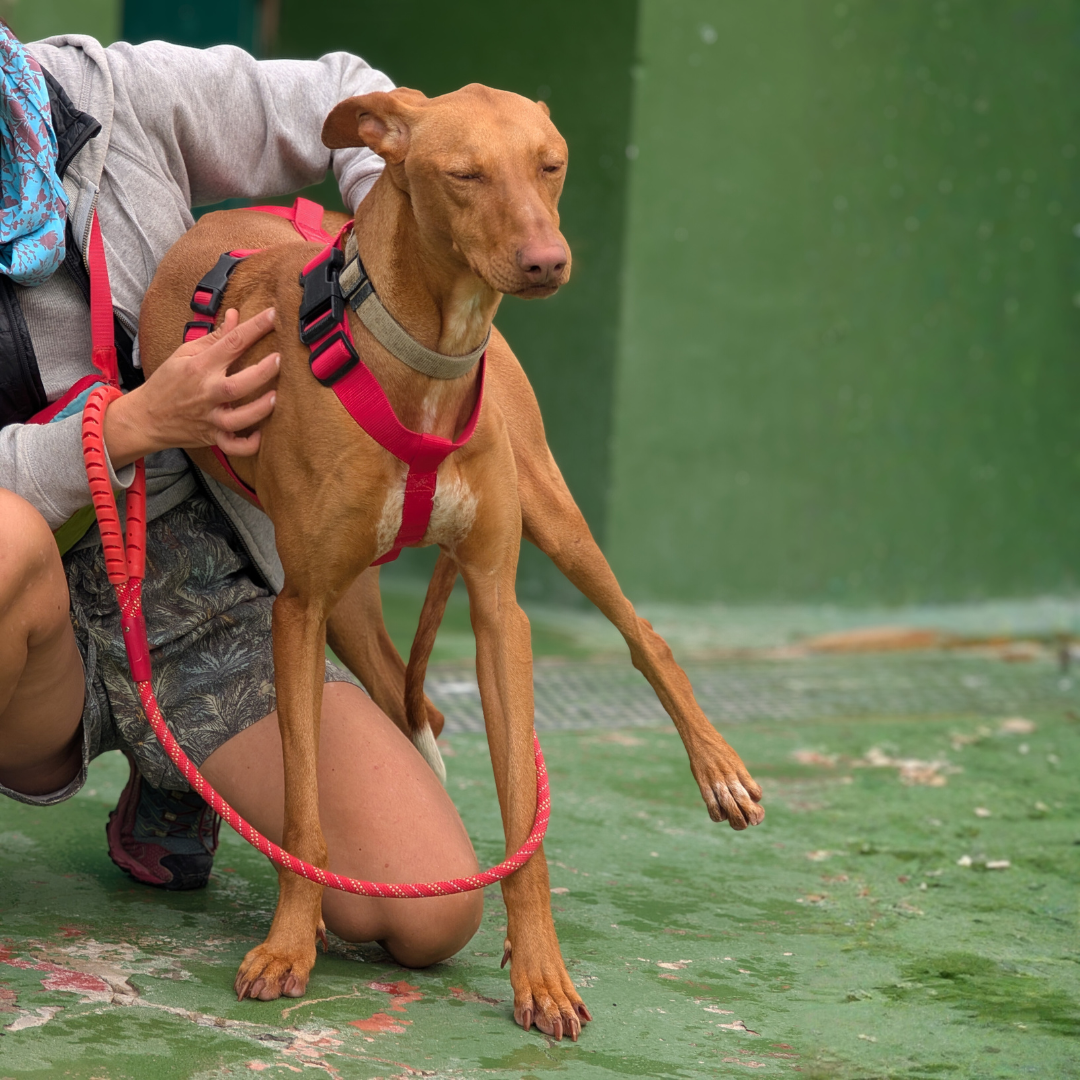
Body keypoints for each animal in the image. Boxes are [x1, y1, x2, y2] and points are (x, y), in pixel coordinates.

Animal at [139, 84, 764, 1041]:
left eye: (552, 163)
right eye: (464, 175)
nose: (547, 262)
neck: (426, 355)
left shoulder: (500, 611)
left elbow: (522, 821)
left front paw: (542, 972)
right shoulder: (300, 610)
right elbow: (306, 811)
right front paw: (289, 944)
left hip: (553, 514)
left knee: (643, 632)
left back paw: (719, 768)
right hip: (349, 611)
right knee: (418, 706)